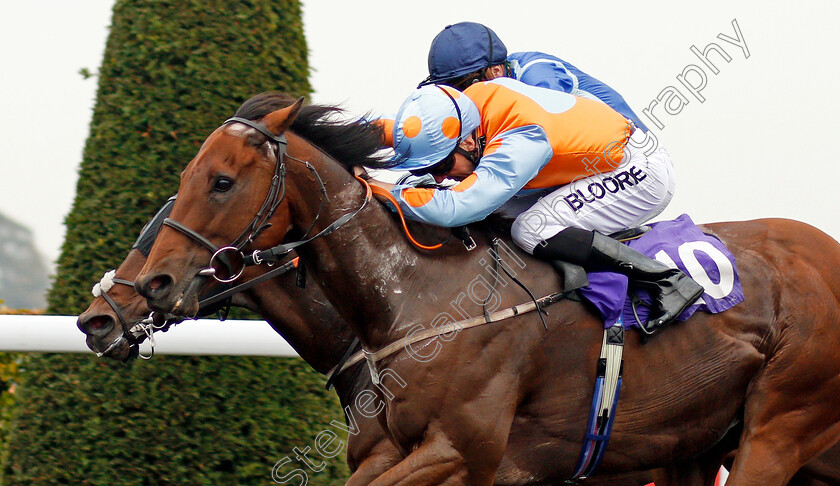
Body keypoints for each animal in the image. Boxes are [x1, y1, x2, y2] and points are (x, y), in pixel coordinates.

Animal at [135, 93, 840, 484]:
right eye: (185, 177)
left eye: (221, 181)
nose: (149, 285)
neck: (415, 298)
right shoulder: (389, 449)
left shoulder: (464, 454)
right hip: (694, 441)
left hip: (780, 425)